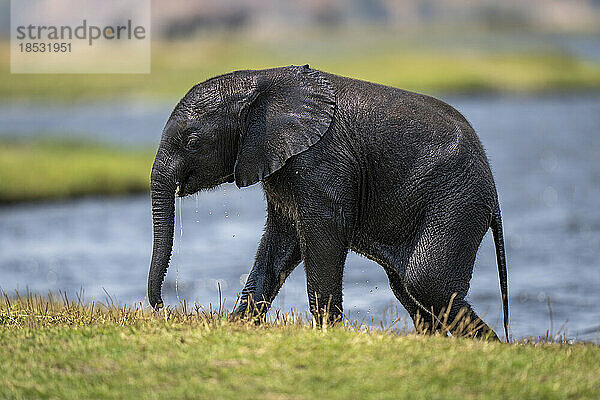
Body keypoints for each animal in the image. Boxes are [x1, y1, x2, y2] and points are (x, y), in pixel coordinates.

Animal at [148, 64, 508, 340]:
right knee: (406, 286)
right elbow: (281, 242)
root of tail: (494, 191)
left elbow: (323, 235)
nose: (163, 308)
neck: (263, 79)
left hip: (456, 200)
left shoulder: (321, 160)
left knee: (426, 281)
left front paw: (326, 332)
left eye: (192, 142)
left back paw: (493, 346)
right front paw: (237, 324)